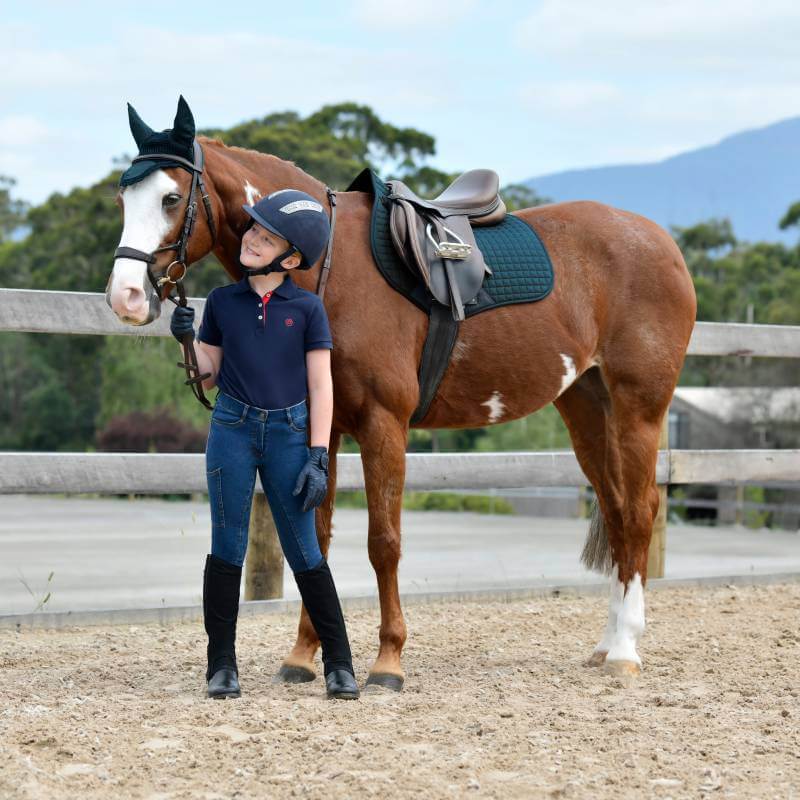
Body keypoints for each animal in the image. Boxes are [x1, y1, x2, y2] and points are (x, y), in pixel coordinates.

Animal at [106, 100, 697, 688]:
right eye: (123, 197)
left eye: (171, 197)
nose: (125, 297)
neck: (331, 265)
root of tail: (660, 242)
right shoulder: (325, 428)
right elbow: (314, 539)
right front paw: (304, 655)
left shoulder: (383, 424)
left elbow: (383, 542)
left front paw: (387, 661)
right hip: (586, 408)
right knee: (617, 511)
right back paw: (606, 643)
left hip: (639, 408)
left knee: (639, 512)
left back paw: (625, 649)